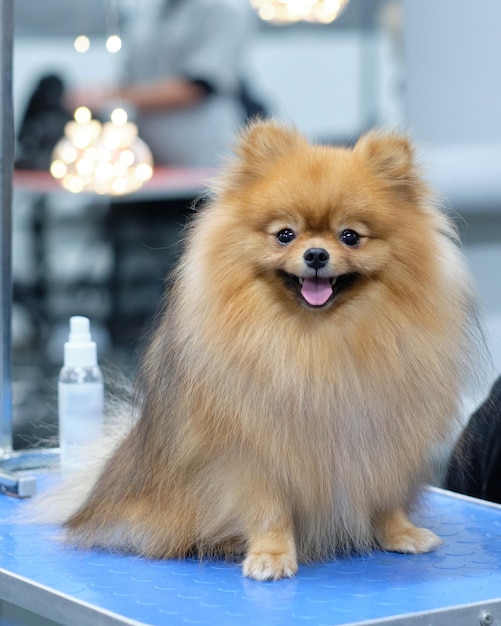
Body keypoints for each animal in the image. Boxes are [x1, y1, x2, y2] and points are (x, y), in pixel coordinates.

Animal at [54, 122, 476, 580]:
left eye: (350, 236)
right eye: (284, 235)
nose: (315, 253)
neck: (318, 339)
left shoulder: (379, 438)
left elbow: (384, 499)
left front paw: (401, 533)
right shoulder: (254, 453)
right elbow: (269, 509)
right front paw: (271, 556)